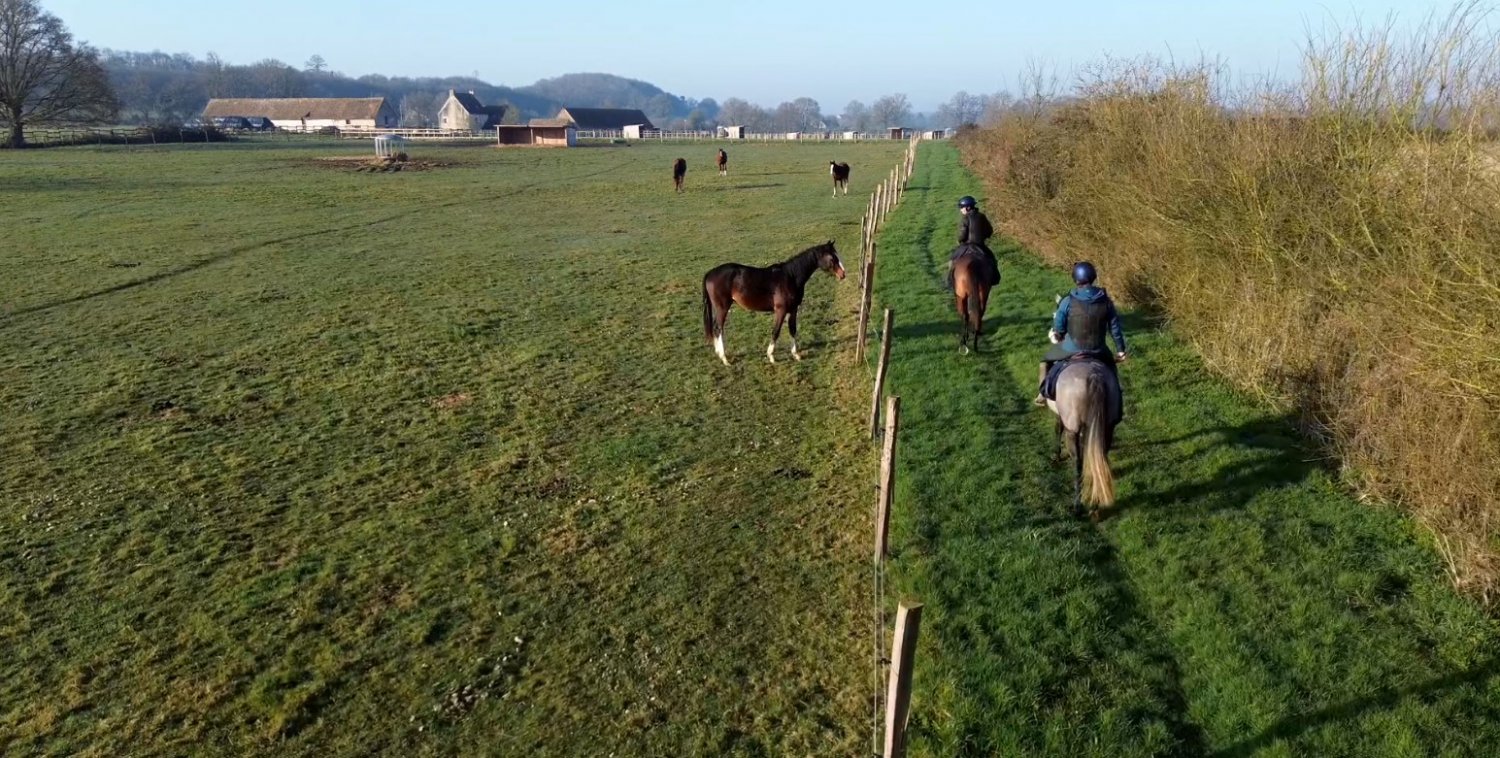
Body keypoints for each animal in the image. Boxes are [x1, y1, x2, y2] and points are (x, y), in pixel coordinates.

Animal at [701, 241, 846, 365]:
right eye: (832, 258)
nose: (843, 274)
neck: (791, 277)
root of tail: (710, 273)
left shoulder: (793, 309)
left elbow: (793, 330)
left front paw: (796, 355)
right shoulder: (781, 311)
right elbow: (776, 331)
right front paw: (771, 356)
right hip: (723, 307)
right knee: (718, 328)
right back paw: (724, 359)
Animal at [1047, 357, 1122, 519]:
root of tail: (1095, 378)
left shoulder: (1062, 417)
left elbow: (1057, 429)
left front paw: (1056, 456)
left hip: (1072, 429)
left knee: (1078, 463)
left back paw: (1078, 507)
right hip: (1107, 427)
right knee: (1099, 459)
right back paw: (1095, 506)